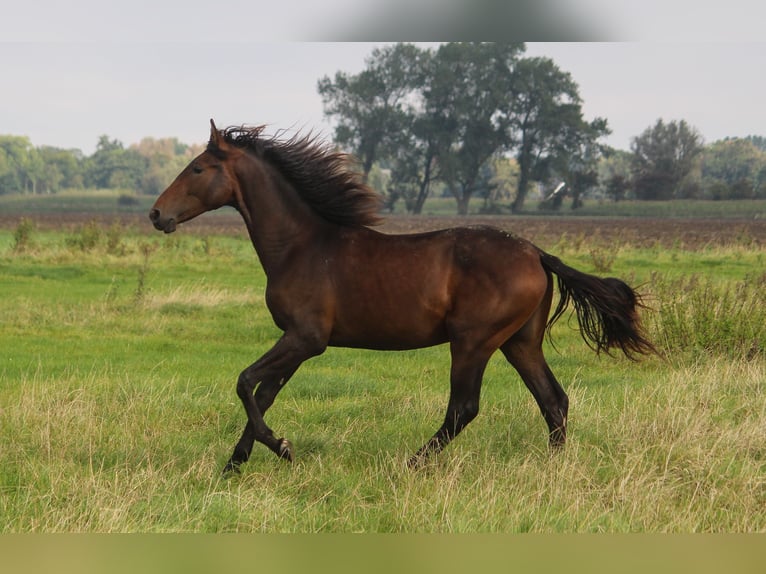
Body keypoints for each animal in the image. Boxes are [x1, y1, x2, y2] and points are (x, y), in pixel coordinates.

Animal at [152, 119, 660, 474]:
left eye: (197, 168)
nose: (157, 214)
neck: (301, 246)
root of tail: (536, 253)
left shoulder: (305, 338)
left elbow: (244, 383)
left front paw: (281, 448)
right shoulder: (297, 343)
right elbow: (264, 393)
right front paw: (234, 464)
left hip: (474, 342)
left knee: (464, 408)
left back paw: (412, 464)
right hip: (520, 343)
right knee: (553, 400)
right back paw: (553, 468)